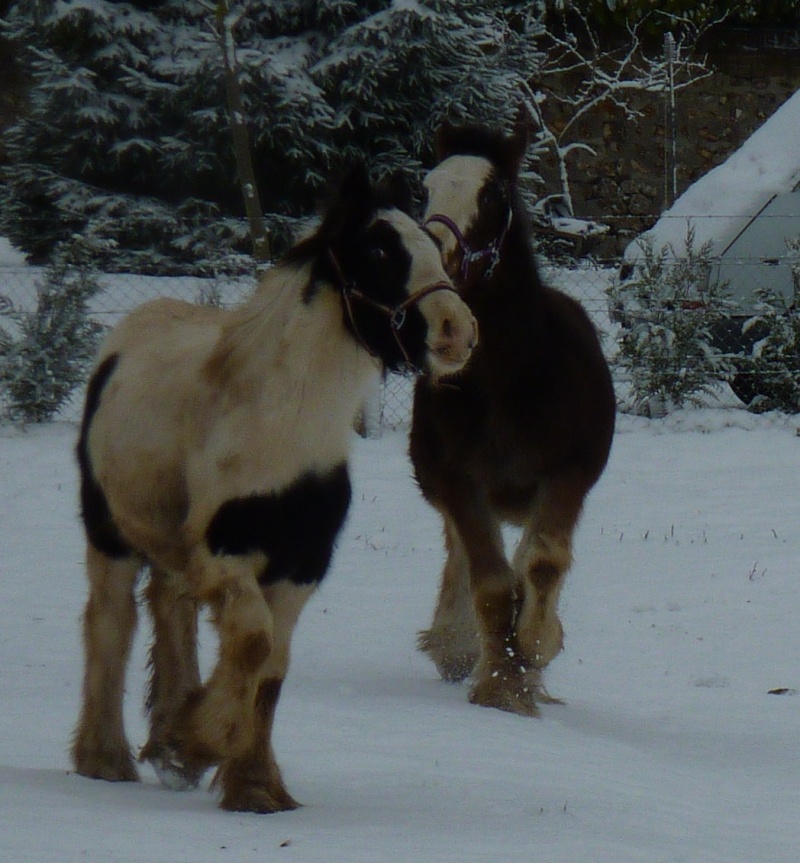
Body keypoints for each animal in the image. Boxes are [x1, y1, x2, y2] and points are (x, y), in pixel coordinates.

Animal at [410, 121, 616, 716]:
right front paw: (500, 683)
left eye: (493, 193)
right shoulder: (456, 481)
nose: (432, 259)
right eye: (426, 188)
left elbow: (542, 563)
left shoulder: (565, 476)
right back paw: (454, 644)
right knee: (464, 555)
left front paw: (535, 648)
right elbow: (492, 581)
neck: (506, 383)